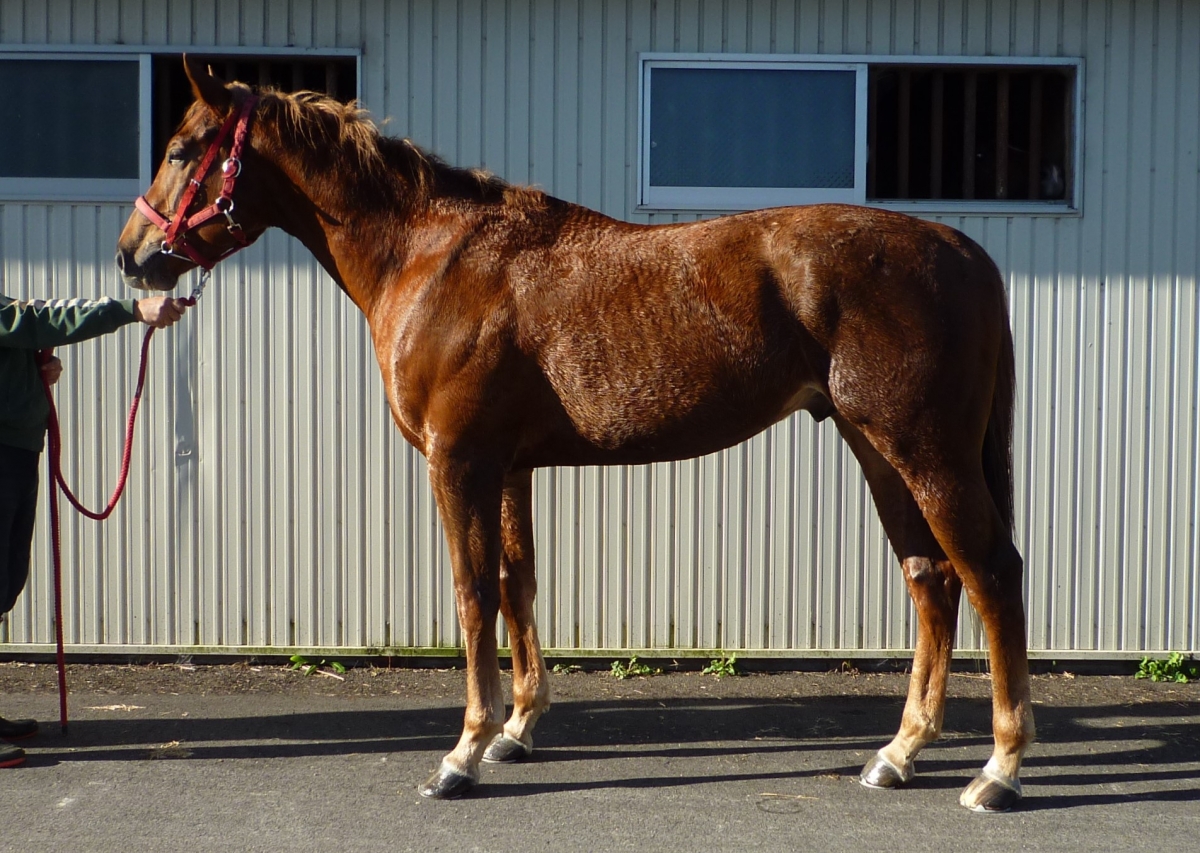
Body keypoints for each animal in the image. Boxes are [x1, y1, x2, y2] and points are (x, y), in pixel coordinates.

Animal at [116, 55, 1034, 811]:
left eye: (184, 147)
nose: (132, 256)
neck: (432, 256)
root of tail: (965, 251)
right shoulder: (510, 466)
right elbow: (518, 583)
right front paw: (518, 729)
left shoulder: (459, 462)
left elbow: (472, 594)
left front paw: (462, 753)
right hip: (878, 450)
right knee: (931, 579)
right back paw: (899, 753)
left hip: (925, 452)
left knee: (990, 573)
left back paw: (999, 769)